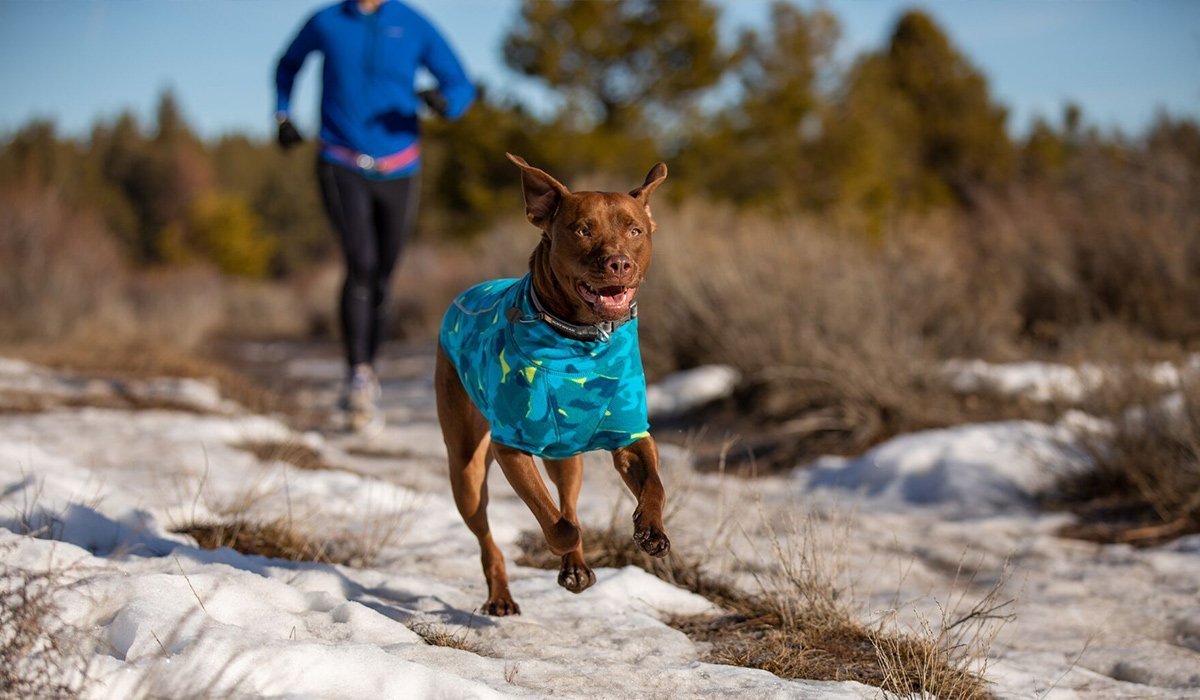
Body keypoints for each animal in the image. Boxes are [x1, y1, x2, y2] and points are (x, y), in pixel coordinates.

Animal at [436, 153, 672, 614]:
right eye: (583, 230)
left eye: (635, 230)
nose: (619, 262)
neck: (582, 340)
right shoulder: (511, 446)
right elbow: (560, 525)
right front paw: (565, 549)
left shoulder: (631, 434)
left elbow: (654, 484)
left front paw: (650, 529)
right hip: (465, 468)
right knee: (488, 535)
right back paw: (503, 595)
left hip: (566, 459)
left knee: (568, 497)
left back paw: (575, 566)